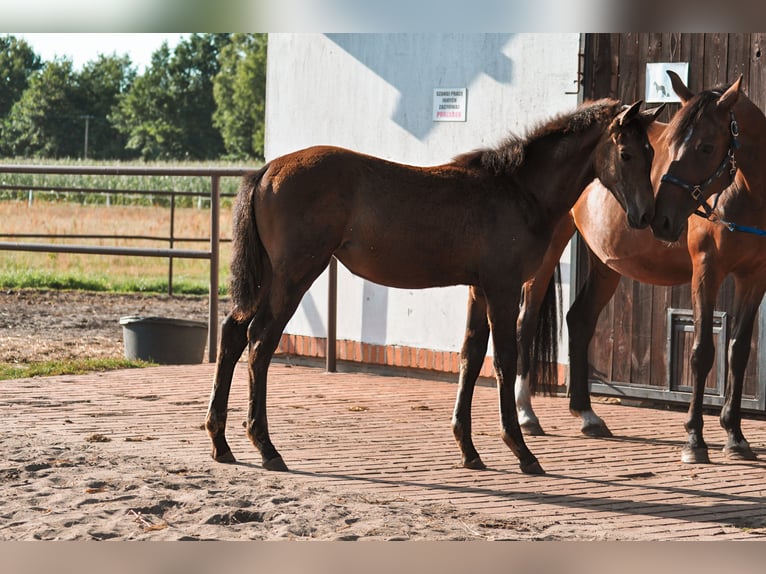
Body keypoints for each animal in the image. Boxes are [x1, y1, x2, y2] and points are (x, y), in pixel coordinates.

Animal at [204, 98, 660, 476]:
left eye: (651, 152)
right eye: (626, 153)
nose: (644, 216)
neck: (517, 190)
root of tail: (266, 170)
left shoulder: (479, 289)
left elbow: (470, 357)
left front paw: (469, 450)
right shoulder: (503, 287)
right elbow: (504, 360)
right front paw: (522, 451)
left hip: (269, 276)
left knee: (232, 334)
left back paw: (221, 443)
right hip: (294, 275)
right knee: (260, 341)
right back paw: (266, 447)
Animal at [516, 73, 766, 468]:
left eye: (706, 147)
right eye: (671, 143)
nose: (661, 220)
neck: (748, 194)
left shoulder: (754, 277)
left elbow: (738, 352)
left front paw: (735, 437)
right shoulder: (706, 270)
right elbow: (702, 352)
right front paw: (694, 439)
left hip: (606, 263)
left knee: (580, 320)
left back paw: (587, 414)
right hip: (547, 253)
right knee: (525, 322)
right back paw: (526, 413)